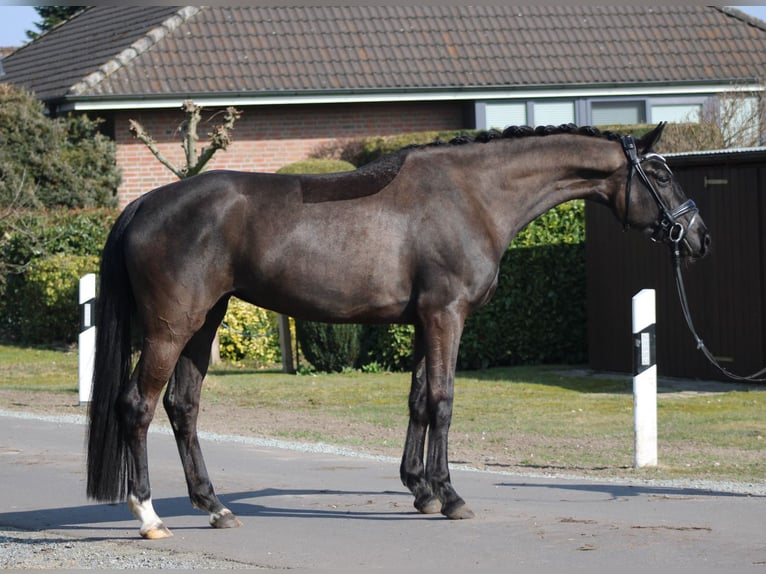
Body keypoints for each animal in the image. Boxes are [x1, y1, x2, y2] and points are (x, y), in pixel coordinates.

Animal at [86, 122, 709, 539]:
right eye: (660, 173)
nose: (699, 236)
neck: (473, 195)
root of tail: (143, 204)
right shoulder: (446, 315)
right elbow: (443, 400)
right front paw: (450, 496)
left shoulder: (422, 320)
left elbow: (417, 400)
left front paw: (420, 489)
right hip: (172, 326)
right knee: (137, 405)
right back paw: (149, 516)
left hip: (205, 321)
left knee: (183, 406)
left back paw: (214, 506)